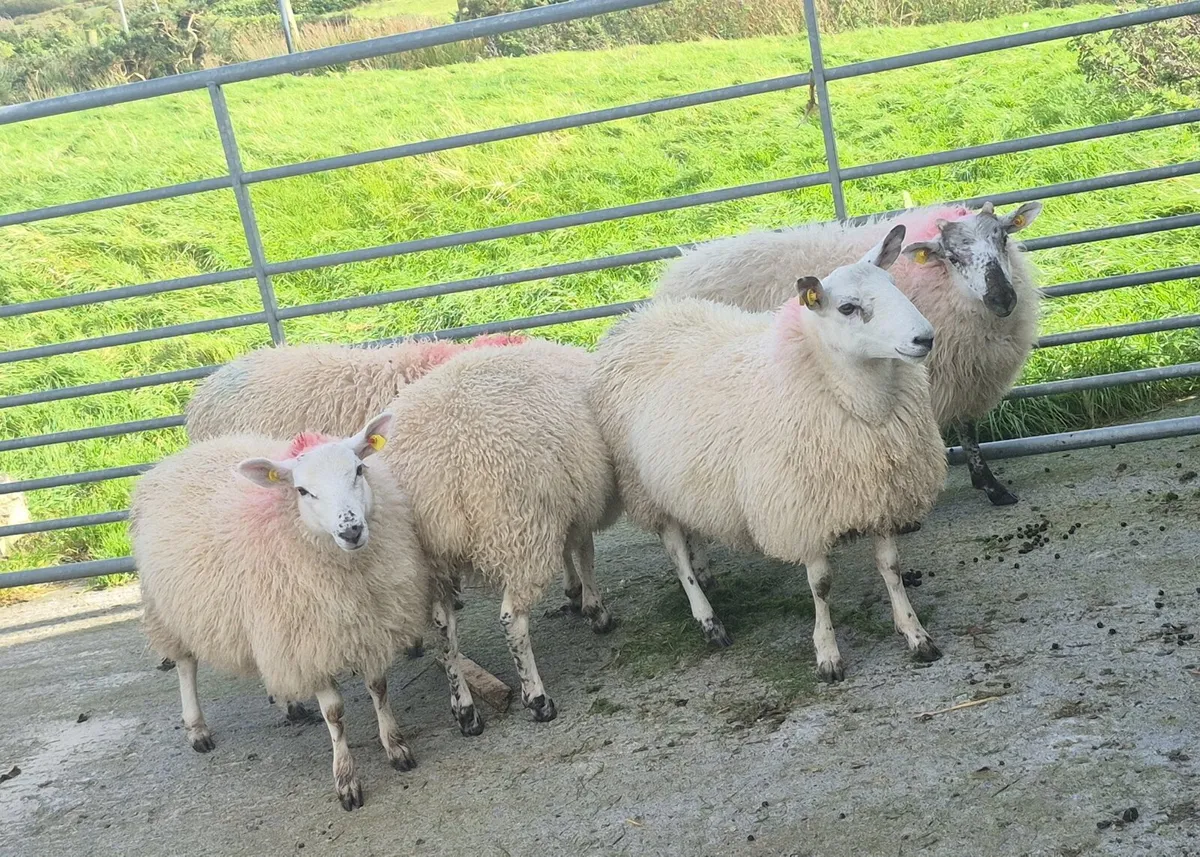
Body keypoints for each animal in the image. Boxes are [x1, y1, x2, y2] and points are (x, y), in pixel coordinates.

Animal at [131, 412, 458, 811]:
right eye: (303, 491)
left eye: (359, 469)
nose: (351, 530)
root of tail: (177, 457)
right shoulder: (307, 639)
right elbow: (334, 714)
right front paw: (346, 779)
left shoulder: (368, 626)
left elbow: (379, 690)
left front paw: (396, 747)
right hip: (167, 609)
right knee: (185, 665)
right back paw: (197, 728)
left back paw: (287, 705)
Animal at [377, 339, 619, 723]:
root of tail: (435, 471)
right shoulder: (576, 503)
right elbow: (585, 555)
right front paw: (596, 611)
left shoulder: (563, 504)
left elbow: (571, 552)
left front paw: (574, 591)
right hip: (517, 529)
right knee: (511, 620)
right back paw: (537, 699)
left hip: (430, 559)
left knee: (444, 630)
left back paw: (465, 711)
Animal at [591, 225, 948, 681]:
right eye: (848, 308)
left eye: (894, 285)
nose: (926, 338)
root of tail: (636, 319)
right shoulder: (801, 510)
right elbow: (821, 585)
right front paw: (827, 653)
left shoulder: (879, 493)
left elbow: (891, 568)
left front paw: (915, 634)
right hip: (641, 483)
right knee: (674, 550)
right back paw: (708, 619)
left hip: (680, 478)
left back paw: (706, 571)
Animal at [656, 200, 1042, 509]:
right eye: (953, 257)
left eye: (1003, 239)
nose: (1003, 298)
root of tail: (676, 273)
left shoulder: (965, 374)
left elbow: (968, 431)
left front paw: (990, 486)